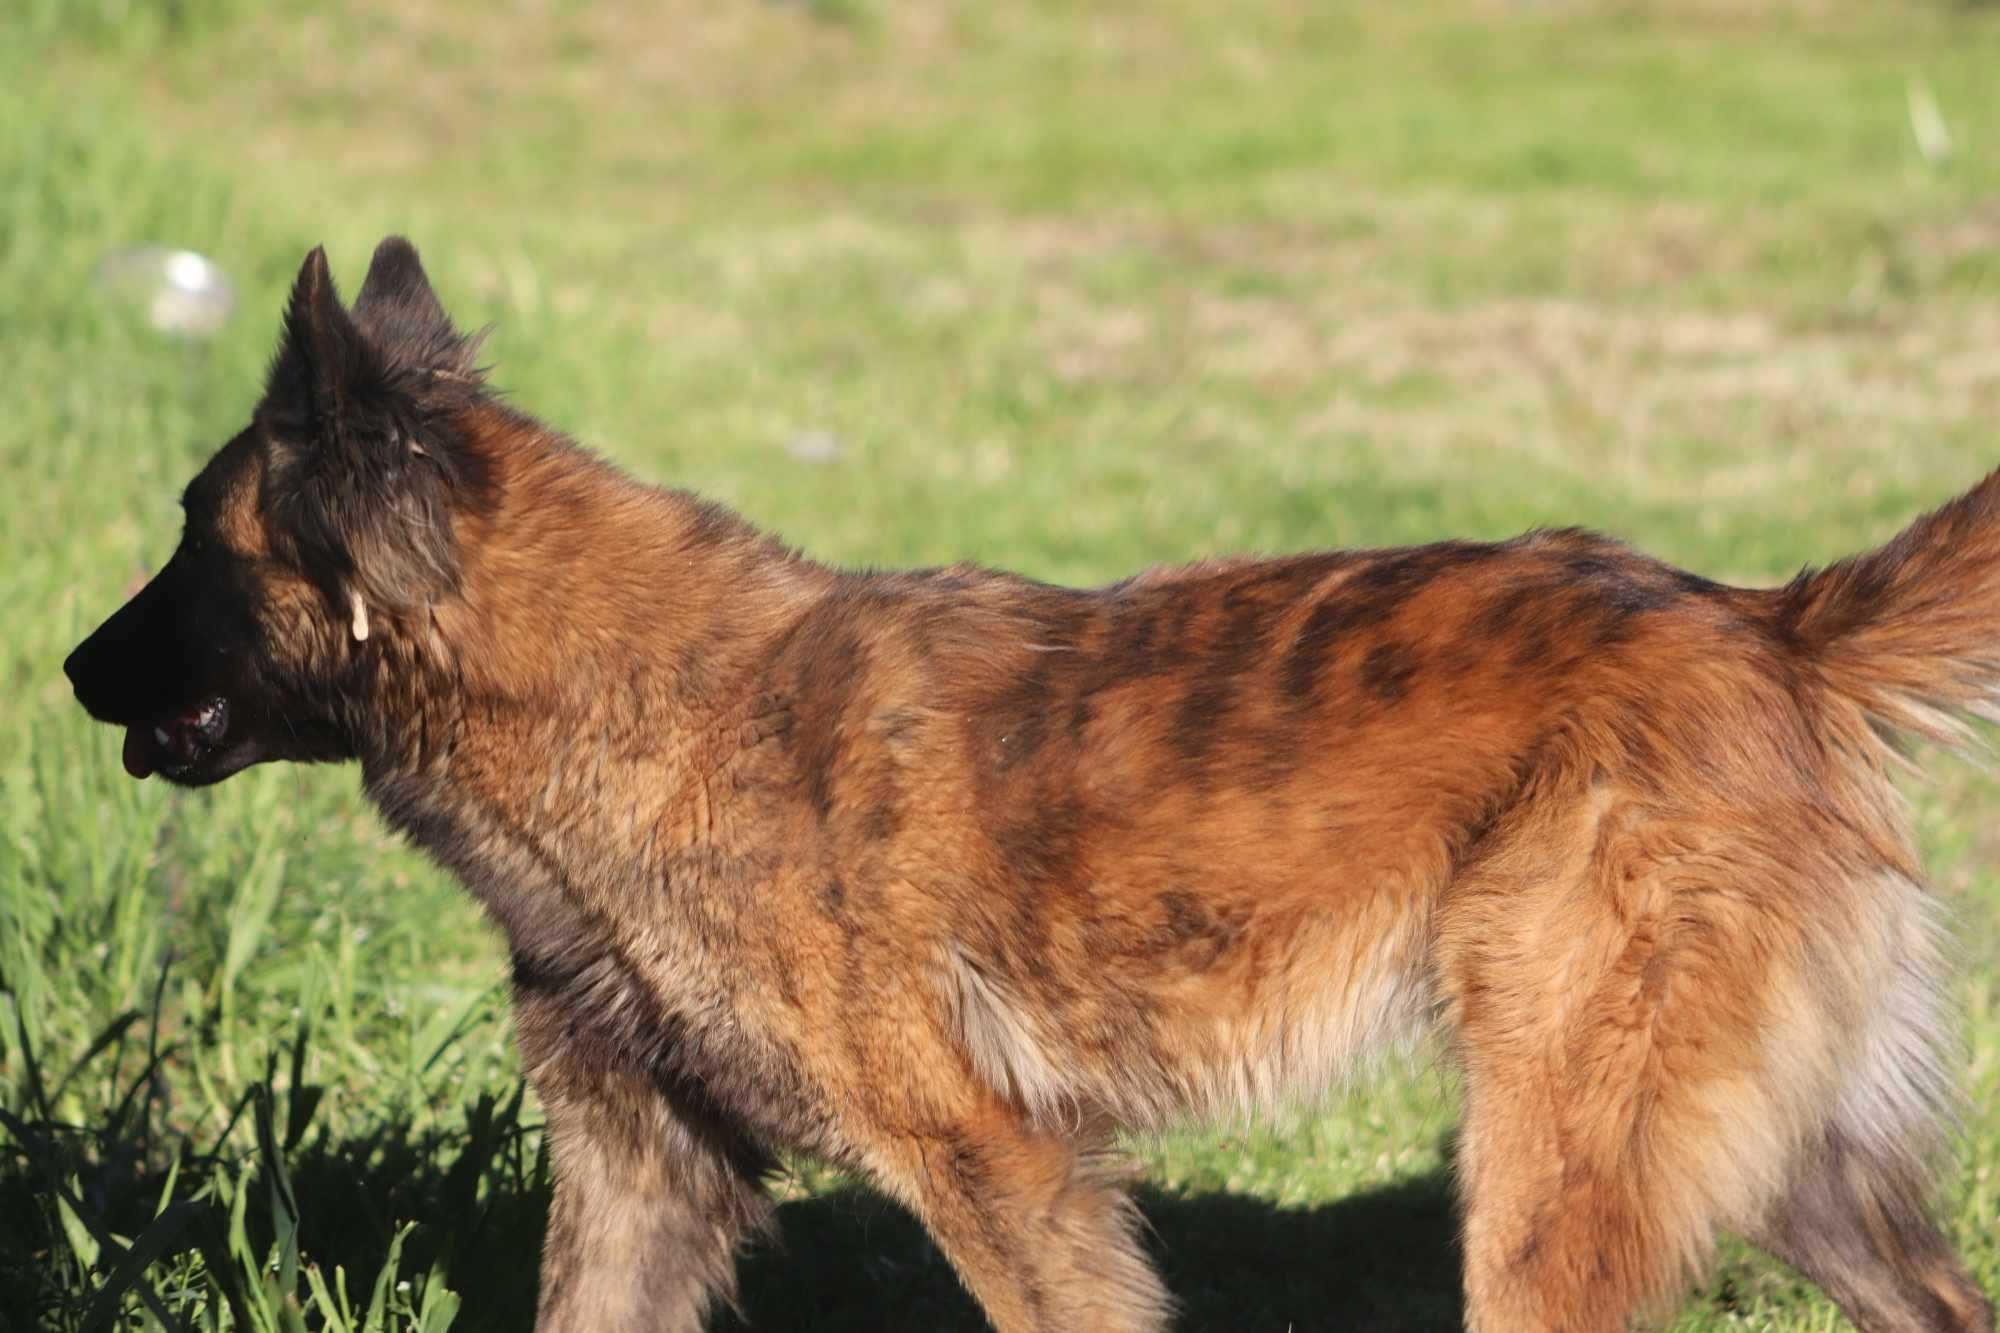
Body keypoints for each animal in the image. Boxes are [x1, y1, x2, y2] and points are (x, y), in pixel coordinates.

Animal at [70, 241, 1992, 1328]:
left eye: (187, 539)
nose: (74, 671)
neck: (643, 707)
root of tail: (1769, 627)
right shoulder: (642, 1176)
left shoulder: (997, 1170)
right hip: (1794, 1180)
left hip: (1552, 1191)